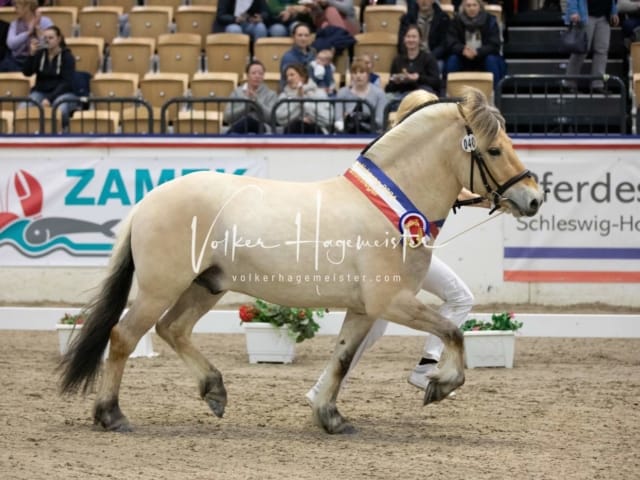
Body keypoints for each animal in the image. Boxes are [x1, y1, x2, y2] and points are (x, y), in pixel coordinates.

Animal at [60, 89, 544, 436]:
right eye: (494, 150)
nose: (533, 198)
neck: (389, 204)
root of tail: (149, 200)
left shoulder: (364, 310)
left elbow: (343, 359)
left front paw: (330, 417)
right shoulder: (393, 302)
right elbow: (453, 332)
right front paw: (439, 385)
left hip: (207, 285)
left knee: (172, 330)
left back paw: (214, 391)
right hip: (160, 287)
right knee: (124, 336)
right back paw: (111, 415)